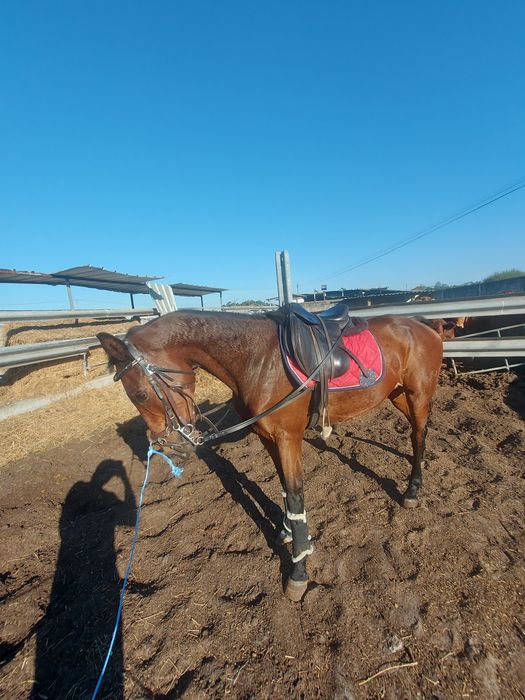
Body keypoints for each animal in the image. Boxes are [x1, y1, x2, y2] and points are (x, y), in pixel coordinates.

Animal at [98, 308, 443, 602]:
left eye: (140, 393)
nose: (169, 447)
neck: (256, 360)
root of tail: (422, 323)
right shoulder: (268, 437)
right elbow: (284, 491)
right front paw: (287, 533)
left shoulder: (288, 438)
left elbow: (296, 495)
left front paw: (298, 571)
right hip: (396, 393)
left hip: (418, 394)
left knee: (418, 436)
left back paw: (412, 490)